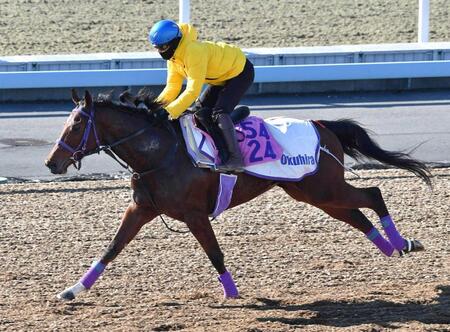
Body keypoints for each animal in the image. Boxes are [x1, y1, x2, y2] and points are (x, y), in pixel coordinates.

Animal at [44, 89, 430, 300]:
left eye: (76, 125)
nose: (52, 163)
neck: (159, 153)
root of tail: (322, 125)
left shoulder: (195, 214)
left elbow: (214, 253)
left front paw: (231, 293)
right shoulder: (141, 209)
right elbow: (111, 248)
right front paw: (73, 290)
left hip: (322, 187)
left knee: (373, 194)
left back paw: (402, 242)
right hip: (313, 193)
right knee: (358, 214)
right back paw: (392, 248)